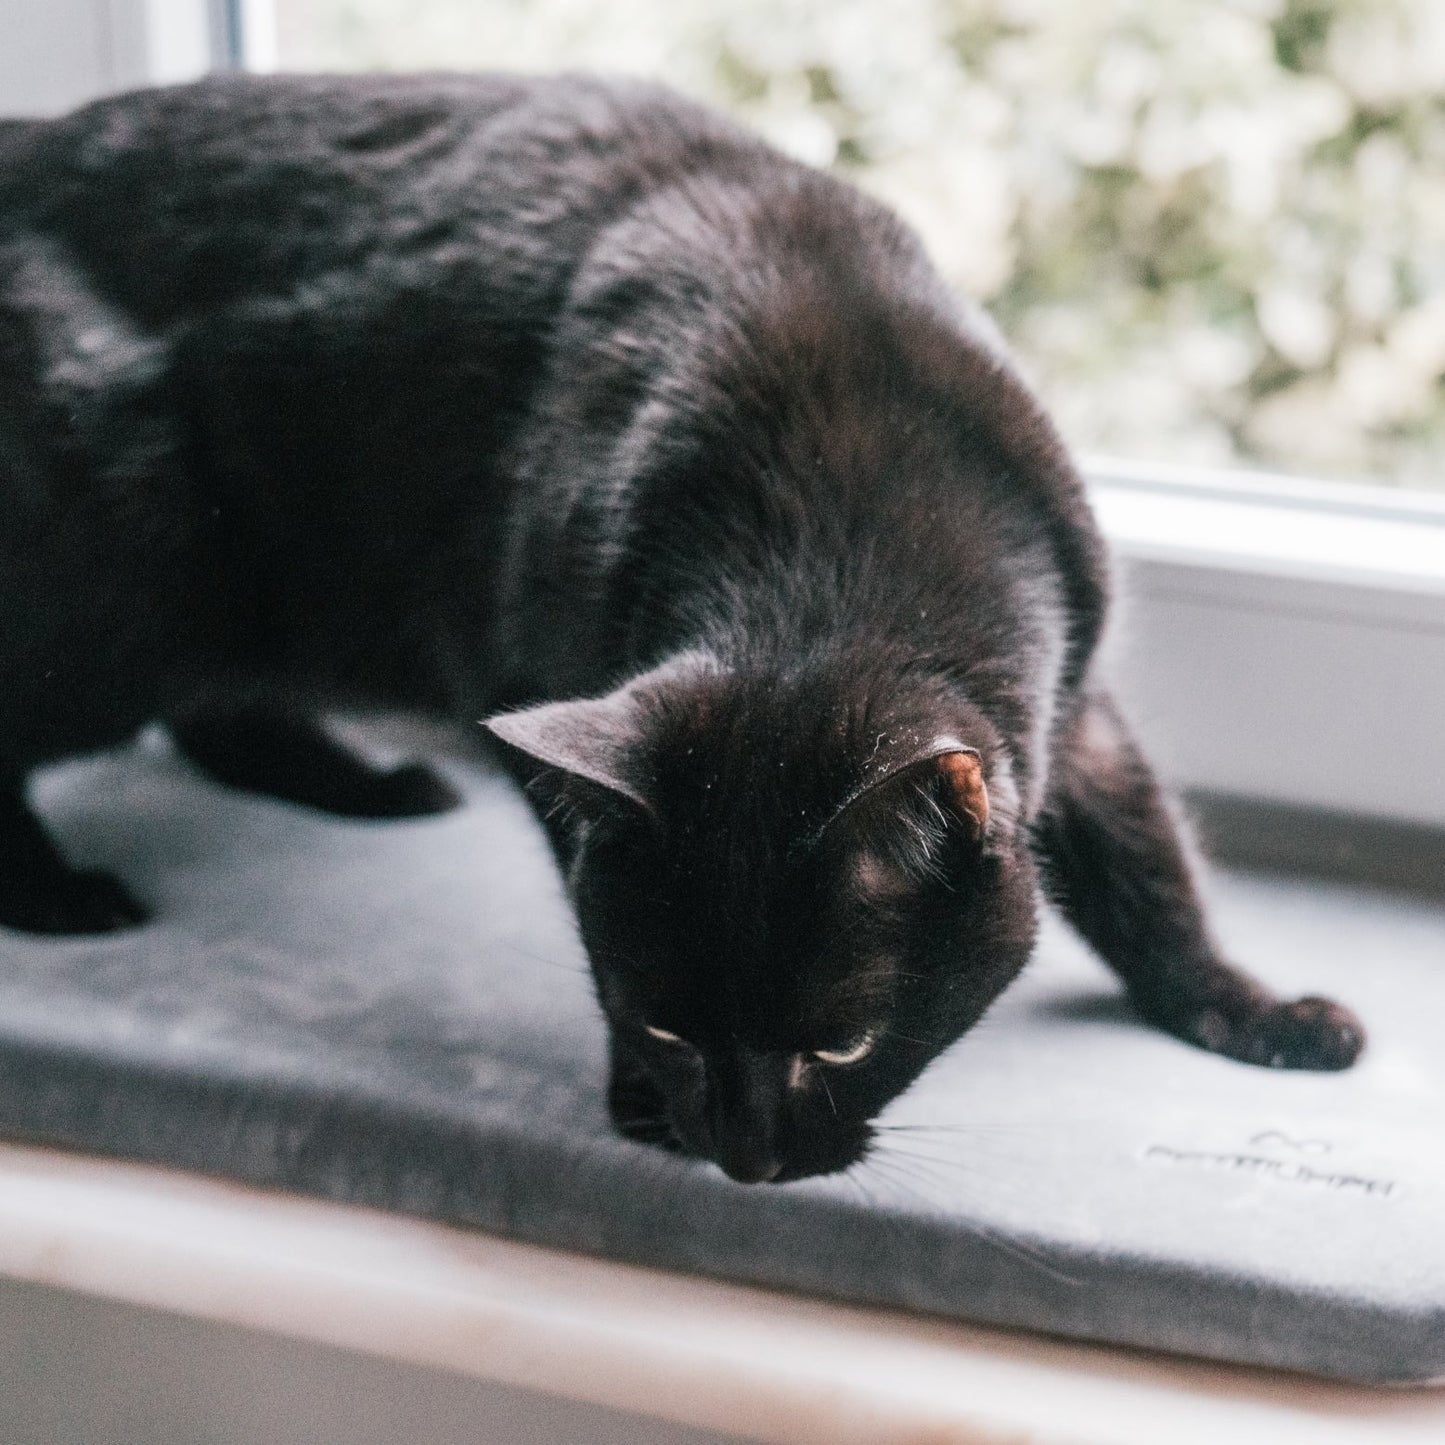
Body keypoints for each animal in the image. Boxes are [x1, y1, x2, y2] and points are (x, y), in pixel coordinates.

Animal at [0, 73, 1358, 1184]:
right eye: (665, 1021)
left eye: (841, 1043)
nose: (744, 1157)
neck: (829, 538)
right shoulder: (522, 683)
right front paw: (638, 1098)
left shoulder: (1074, 712)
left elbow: (1147, 870)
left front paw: (1255, 1013)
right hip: (128, 572)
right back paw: (60, 896)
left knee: (219, 711)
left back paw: (369, 786)